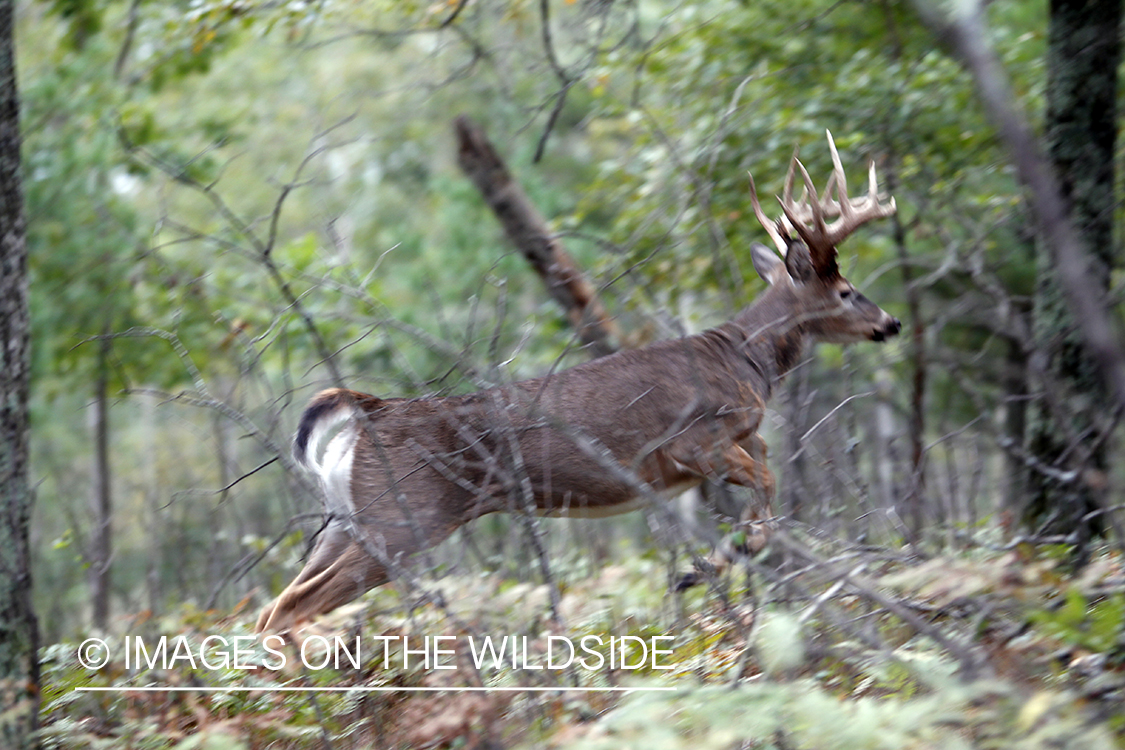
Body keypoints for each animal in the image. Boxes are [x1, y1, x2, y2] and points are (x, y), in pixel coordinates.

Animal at [255, 133, 895, 634]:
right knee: (295, 605)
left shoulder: (730, 443)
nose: (890, 323)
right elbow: (768, 482)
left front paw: (710, 563)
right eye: (845, 292)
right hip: (403, 517)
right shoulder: (690, 442)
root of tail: (370, 411)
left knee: (274, 604)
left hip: (346, 521)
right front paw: (705, 567)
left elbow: (766, 476)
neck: (744, 360)